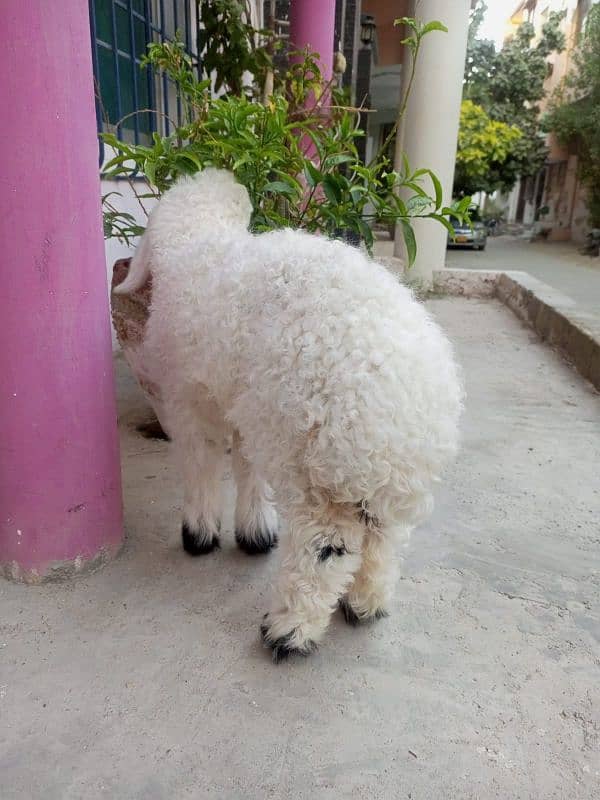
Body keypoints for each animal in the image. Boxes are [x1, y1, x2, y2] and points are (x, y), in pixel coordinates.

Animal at [116, 170, 464, 664]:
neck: (201, 238)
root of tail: (395, 413)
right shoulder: (248, 404)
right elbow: (247, 466)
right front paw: (255, 531)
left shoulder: (190, 398)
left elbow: (202, 462)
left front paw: (198, 534)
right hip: (370, 480)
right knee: (384, 541)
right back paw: (365, 603)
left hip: (317, 468)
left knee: (323, 548)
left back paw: (289, 629)